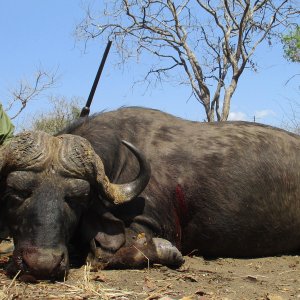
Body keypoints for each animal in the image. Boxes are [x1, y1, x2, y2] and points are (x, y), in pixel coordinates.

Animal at [0, 106, 300, 280]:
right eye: (14, 192)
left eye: (78, 198)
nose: (41, 264)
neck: (120, 160)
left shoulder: (149, 223)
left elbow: (104, 255)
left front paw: (168, 251)